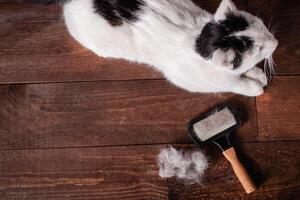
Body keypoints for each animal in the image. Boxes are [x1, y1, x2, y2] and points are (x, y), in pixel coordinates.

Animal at [38, 0, 278, 97]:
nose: (275, 42)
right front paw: (254, 86)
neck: (198, 40)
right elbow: (234, 84)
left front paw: (256, 74)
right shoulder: (188, 79)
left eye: (261, 26)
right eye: (259, 50)